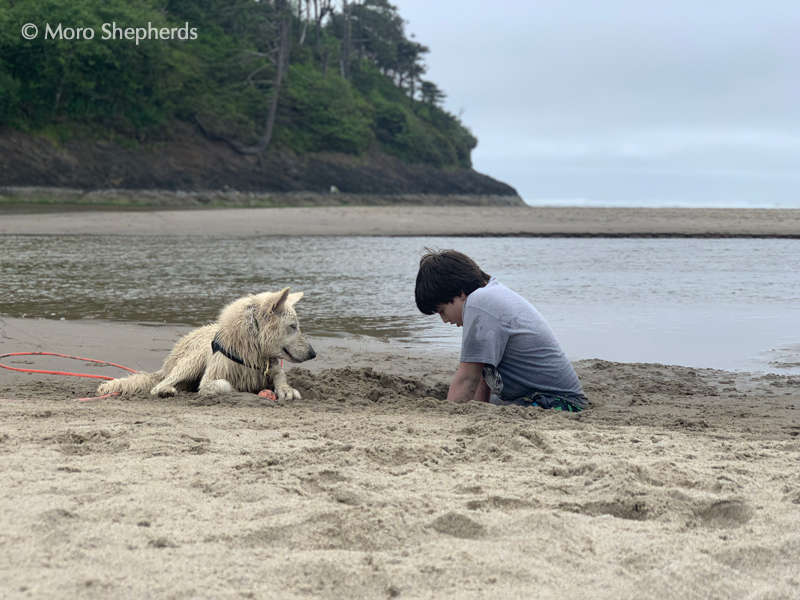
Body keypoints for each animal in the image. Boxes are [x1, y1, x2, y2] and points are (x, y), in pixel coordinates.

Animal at [97, 290, 316, 398]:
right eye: (292, 326)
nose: (313, 354)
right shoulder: (212, 376)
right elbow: (224, 385)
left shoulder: (270, 368)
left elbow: (281, 376)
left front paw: (286, 390)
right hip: (195, 357)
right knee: (160, 384)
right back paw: (166, 390)